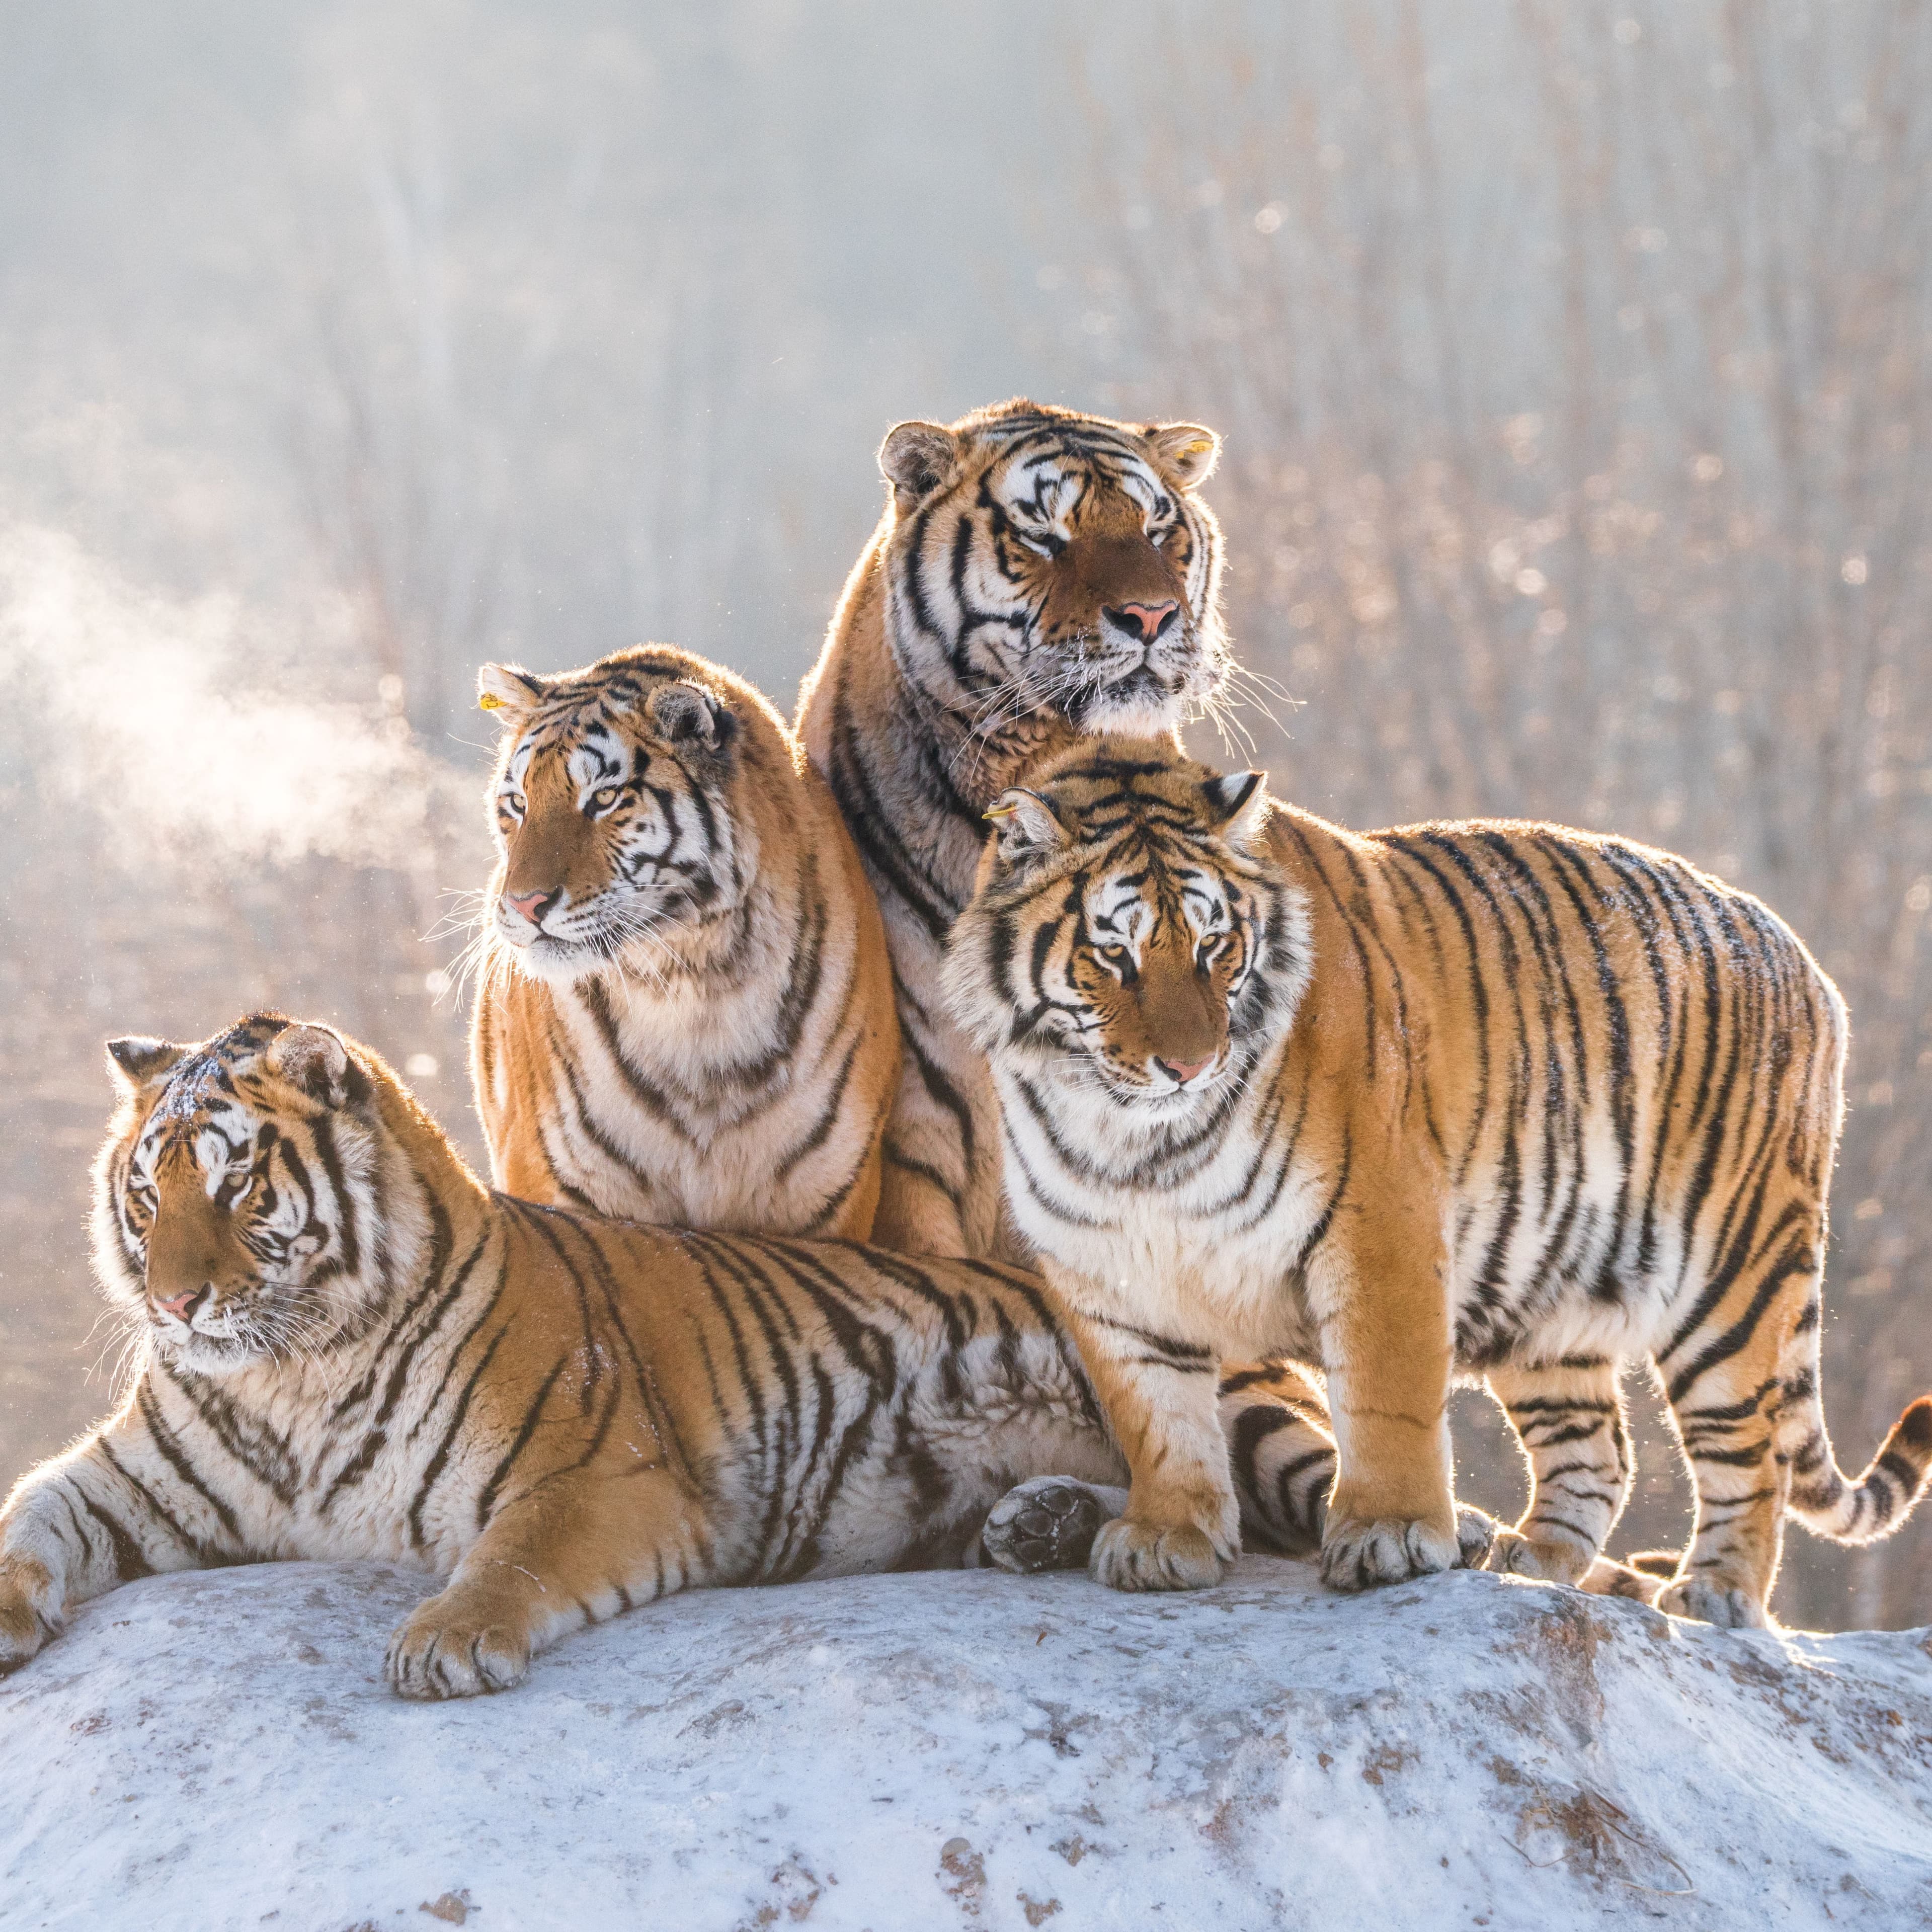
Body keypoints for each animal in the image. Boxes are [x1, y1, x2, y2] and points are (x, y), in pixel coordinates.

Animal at [0, 1014, 1490, 1699]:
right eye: (147, 1193)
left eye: (241, 1190)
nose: (178, 1302)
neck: (290, 1376)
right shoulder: (129, 1479)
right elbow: (28, 1515)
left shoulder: (596, 1475)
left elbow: (508, 1558)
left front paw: (446, 1642)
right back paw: (1039, 1522)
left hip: (1231, 1401)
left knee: (1281, 1508)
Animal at [944, 737, 1932, 1626]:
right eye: (1115, 955)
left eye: (1215, 947)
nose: (1190, 1066)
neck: (1132, 1143)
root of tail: (1799, 954)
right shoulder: (1104, 1269)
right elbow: (1157, 1416)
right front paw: (1166, 1540)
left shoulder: (1376, 1221)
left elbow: (1385, 1398)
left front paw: (1389, 1539)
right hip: (1552, 1294)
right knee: (1600, 1451)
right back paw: (1533, 1561)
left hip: (1731, 1274)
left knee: (1749, 1452)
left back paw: (1718, 1592)